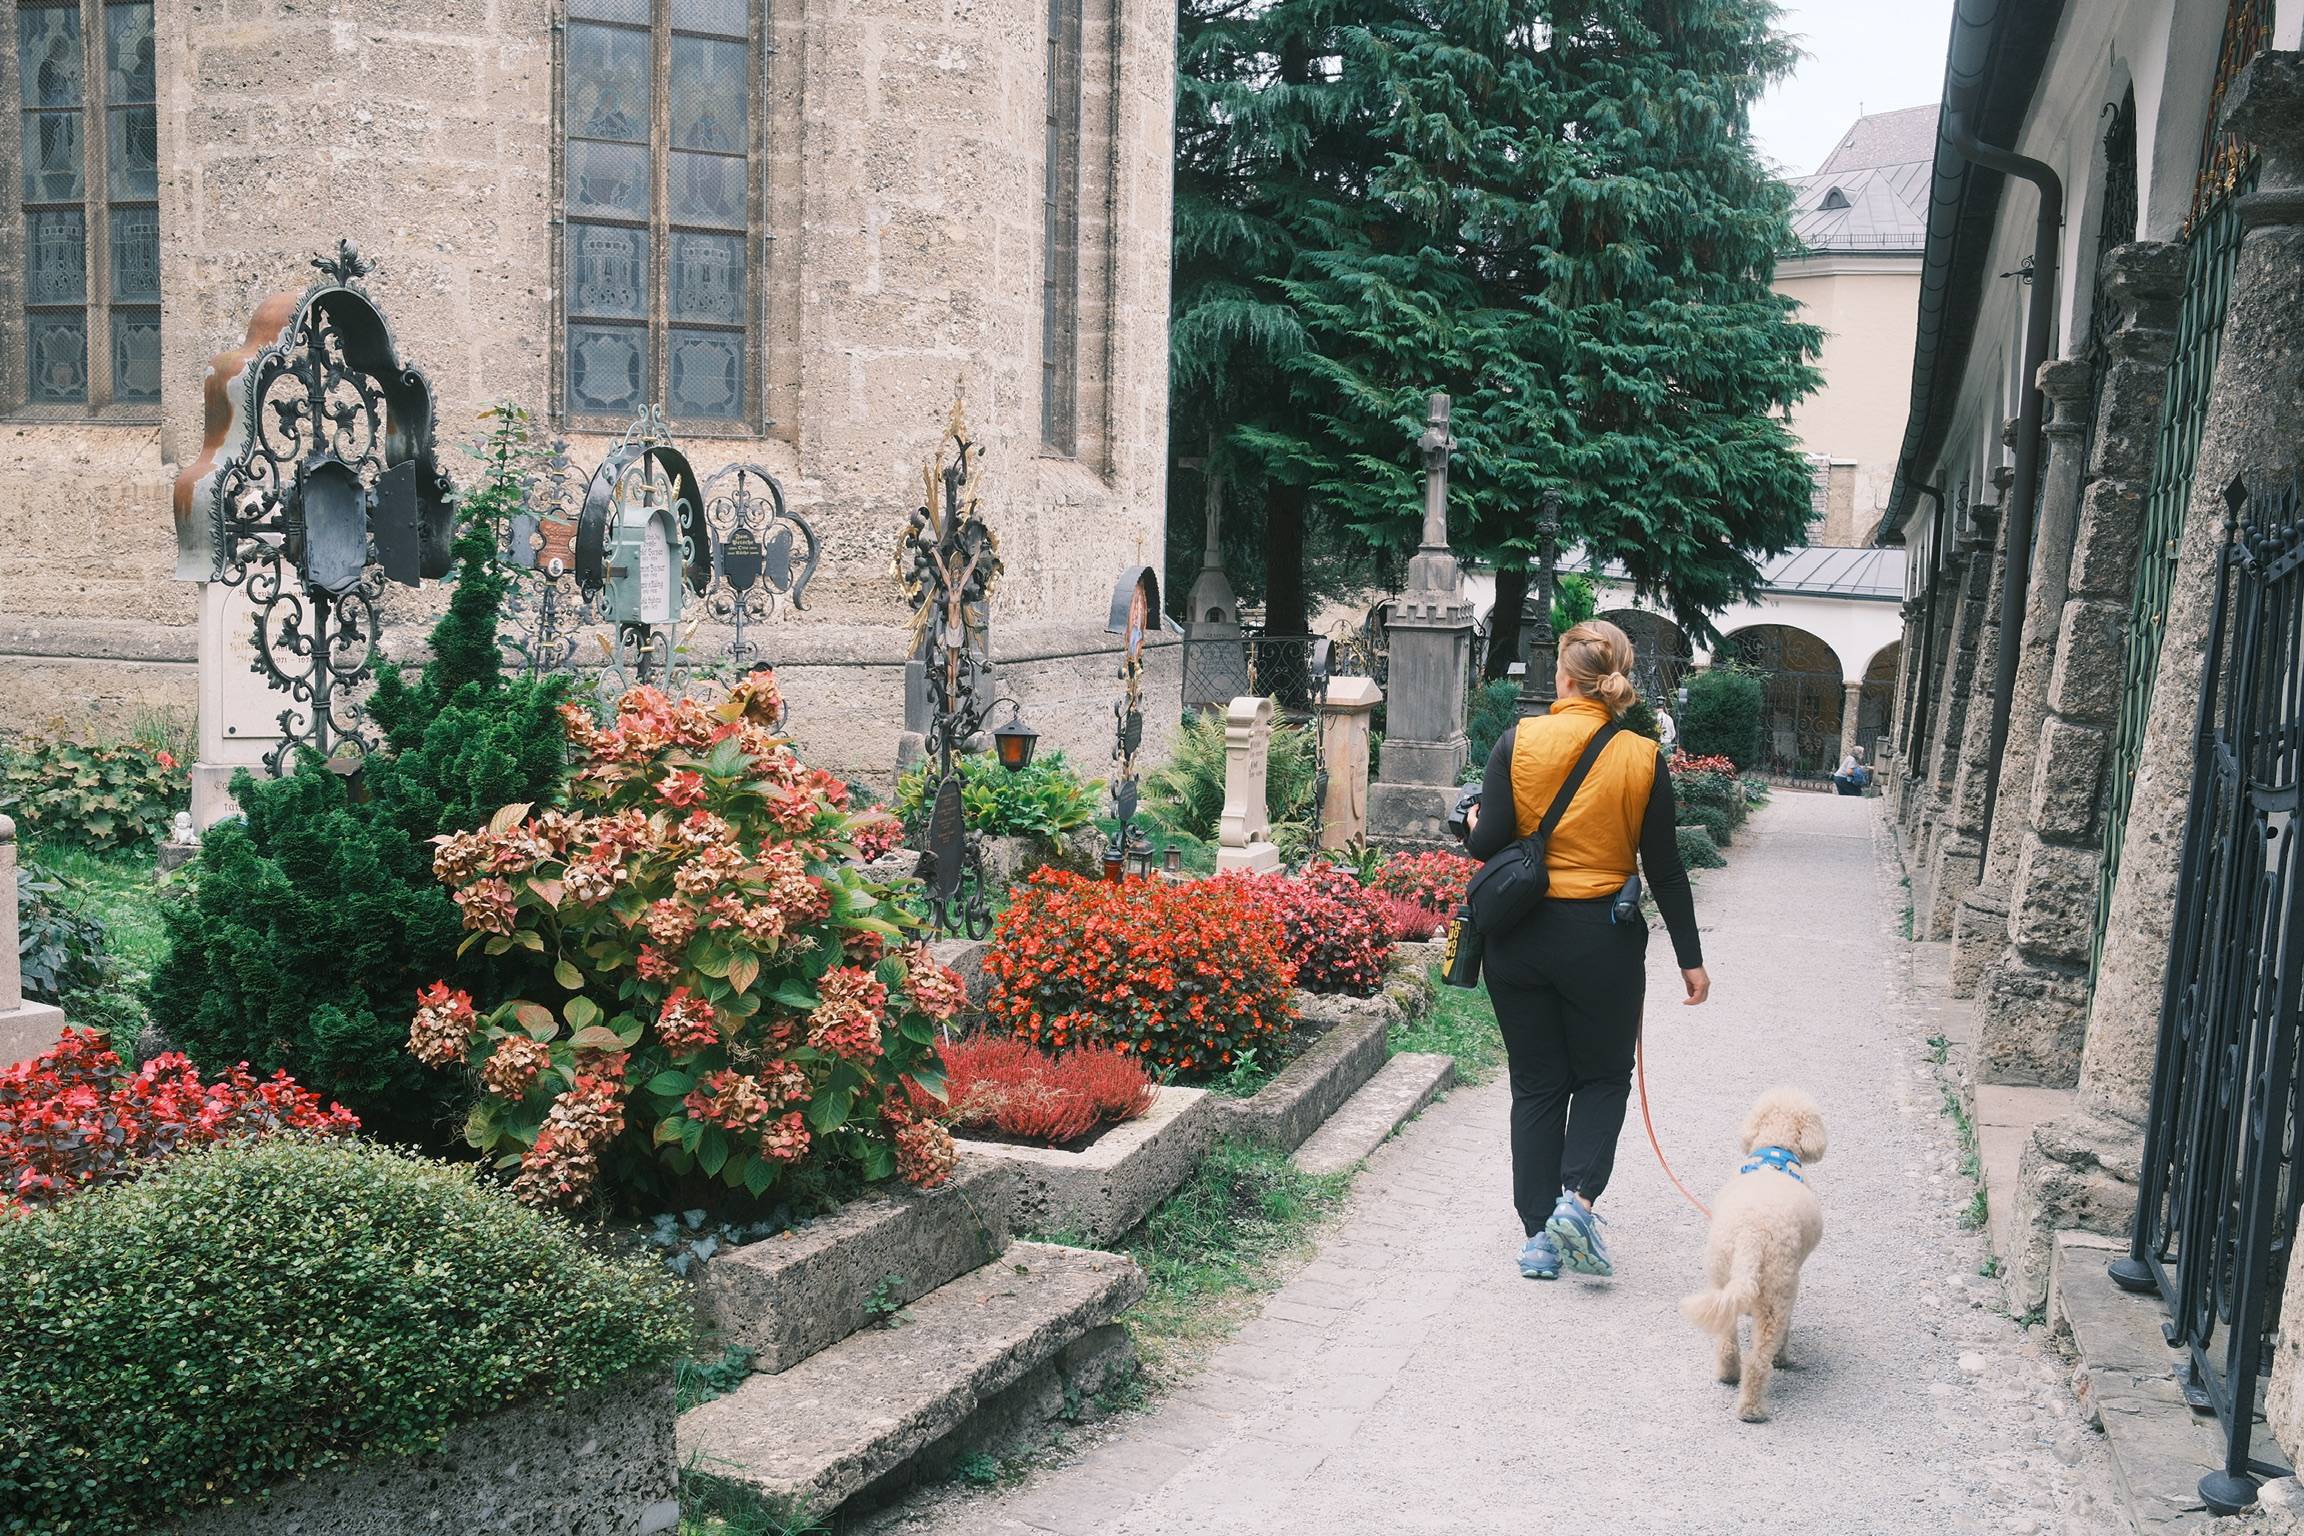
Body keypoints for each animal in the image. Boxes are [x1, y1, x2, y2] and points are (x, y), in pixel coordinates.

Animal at [1680, 1087, 1827, 1422]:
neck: (1777, 1148)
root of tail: (1752, 1234)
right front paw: (1783, 1357)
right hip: (1777, 1291)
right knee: (1759, 1360)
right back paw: (1752, 1409)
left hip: (1722, 1274)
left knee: (1727, 1341)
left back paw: (1728, 1375)